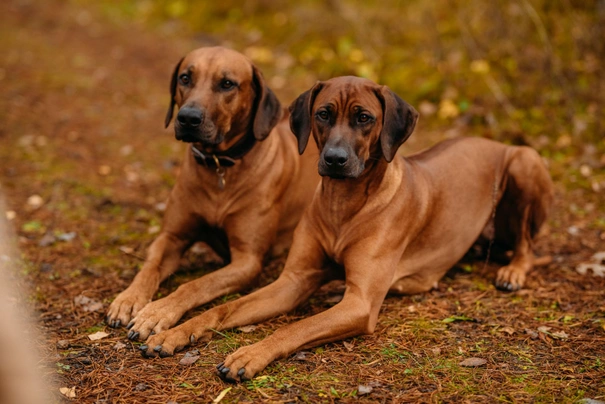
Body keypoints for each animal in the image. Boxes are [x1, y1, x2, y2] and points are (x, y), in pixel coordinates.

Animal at [105, 46, 318, 340]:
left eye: (227, 84)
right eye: (185, 78)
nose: (187, 118)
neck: (218, 165)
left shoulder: (247, 260)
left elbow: (195, 284)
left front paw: (158, 311)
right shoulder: (172, 237)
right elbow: (149, 267)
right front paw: (128, 299)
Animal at [137, 76, 552, 382]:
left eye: (364, 117)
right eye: (323, 113)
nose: (335, 159)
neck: (343, 205)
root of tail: (495, 141)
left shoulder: (359, 303)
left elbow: (294, 328)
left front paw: (250, 354)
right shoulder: (292, 282)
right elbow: (223, 309)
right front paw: (172, 331)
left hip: (525, 161)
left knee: (529, 245)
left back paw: (513, 271)